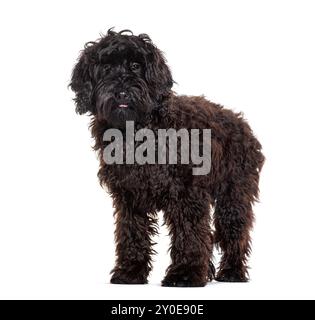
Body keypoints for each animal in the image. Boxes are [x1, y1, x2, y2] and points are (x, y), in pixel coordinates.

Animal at [70, 28, 266, 286]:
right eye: (107, 67)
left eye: (135, 65)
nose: (122, 92)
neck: (138, 131)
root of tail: (242, 122)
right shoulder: (129, 197)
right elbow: (132, 233)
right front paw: (130, 271)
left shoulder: (187, 195)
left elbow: (189, 233)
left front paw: (185, 273)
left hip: (233, 197)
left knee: (234, 233)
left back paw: (232, 272)